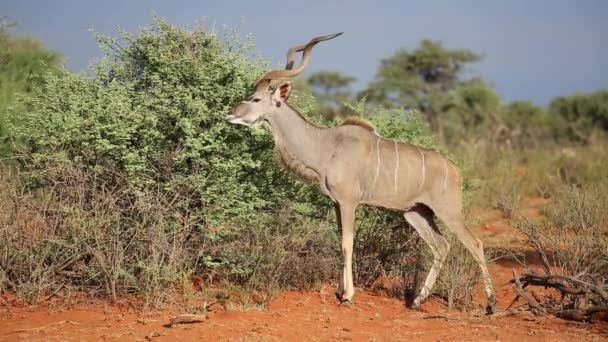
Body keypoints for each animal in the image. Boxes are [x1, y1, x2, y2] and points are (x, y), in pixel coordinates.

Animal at [226, 33, 496, 314]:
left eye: (256, 99)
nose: (231, 113)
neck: (326, 145)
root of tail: (456, 170)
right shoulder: (336, 203)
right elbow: (340, 240)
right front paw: (338, 291)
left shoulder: (349, 202)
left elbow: (348, 243)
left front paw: (348, 295)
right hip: (416, 213)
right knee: (442, 246)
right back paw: (417, 301)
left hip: (448, 211)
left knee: (474, 243)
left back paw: (490, 303)